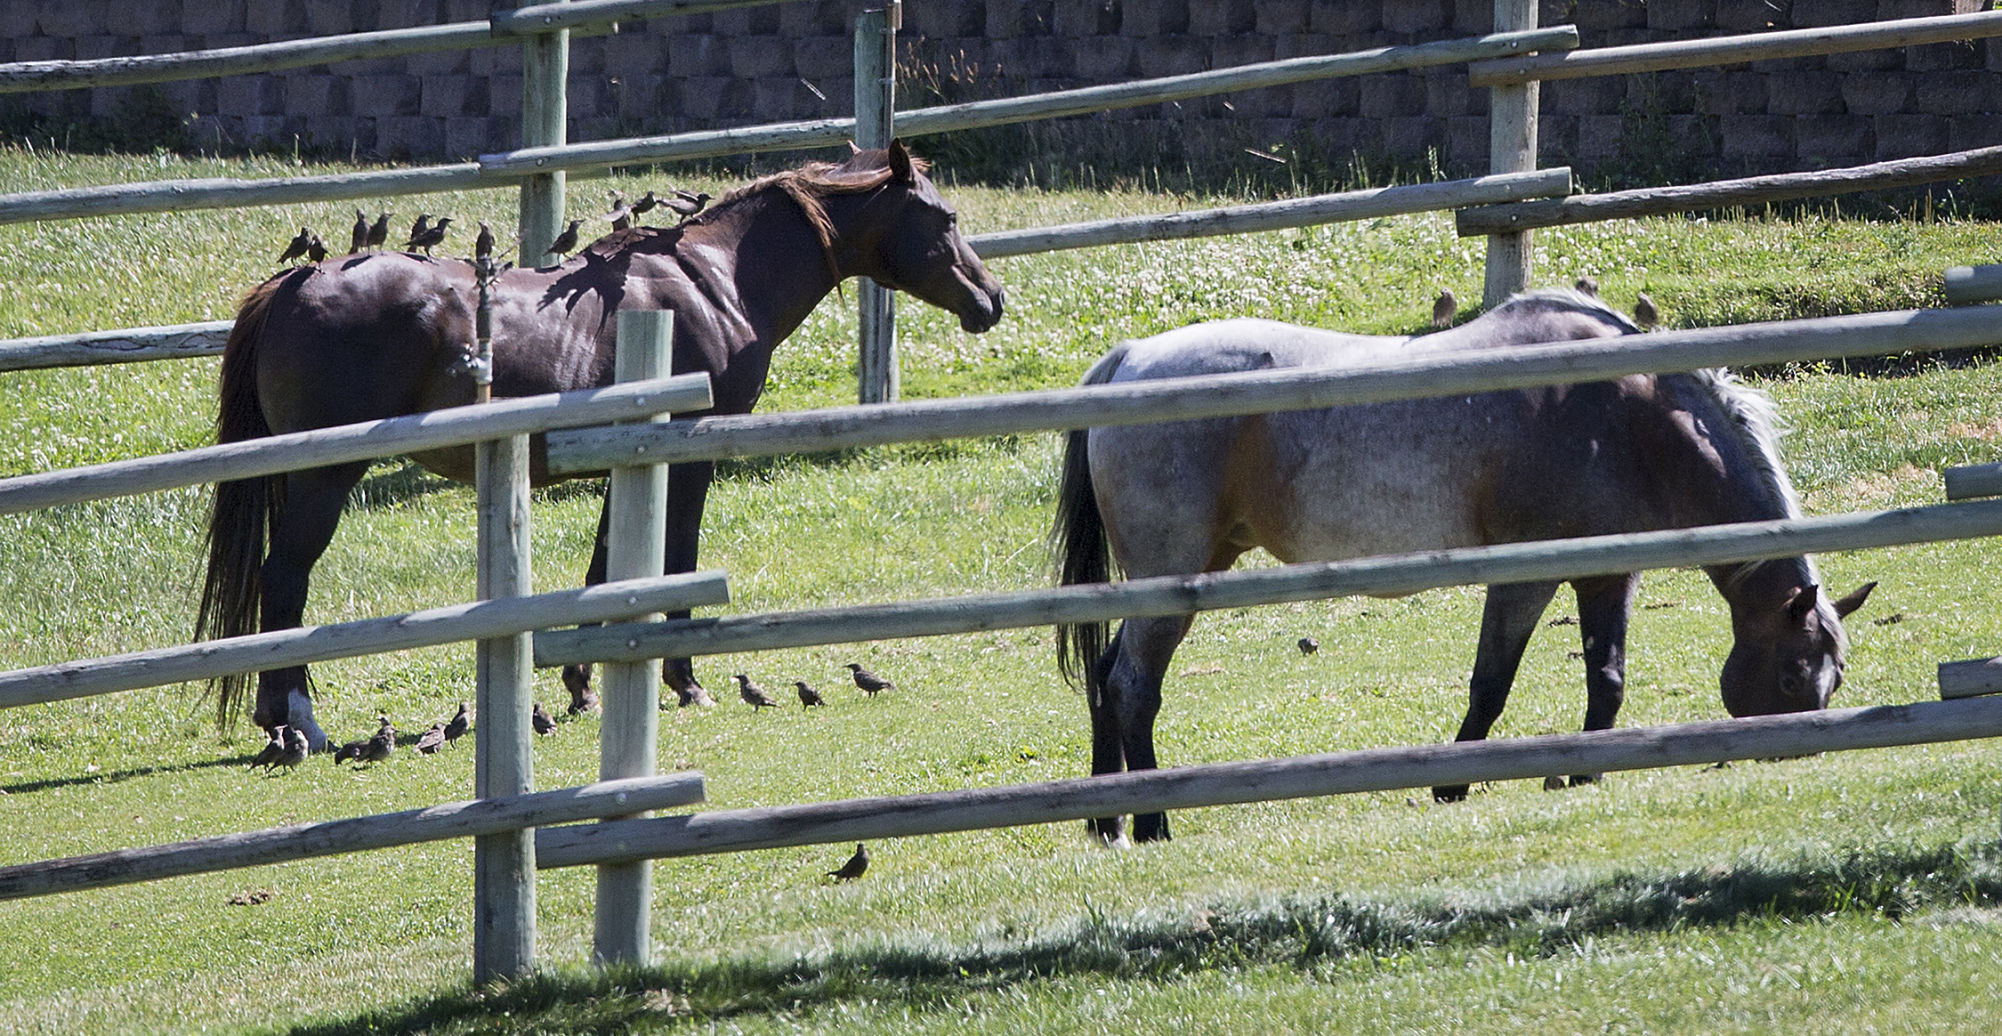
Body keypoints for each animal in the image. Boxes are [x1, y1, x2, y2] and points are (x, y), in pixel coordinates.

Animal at [197, 141, 1005, 749]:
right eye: (943, 215)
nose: (991, 299)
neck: (713, 282)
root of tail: (295, 282)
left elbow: (610, 562)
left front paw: (584, 685)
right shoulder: (687, 452)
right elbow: (674, 556)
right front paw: (685, 680)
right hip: (324, 478)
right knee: (284, 578)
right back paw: (297, 721)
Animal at [1051, 289, 1874, 845]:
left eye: (1834, 678)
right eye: (1794, 674)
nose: (1795, 753)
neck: (1623, 408)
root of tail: (1131, 361)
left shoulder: (1609, 575)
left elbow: (1605, 677)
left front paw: (1586, 771)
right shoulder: (1526, 576)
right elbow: (1490, 684)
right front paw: (1452, 783)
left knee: (1108, 674)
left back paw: (1108, 821)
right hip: (1172, 586)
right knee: (1132, 685)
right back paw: (1152, 821)